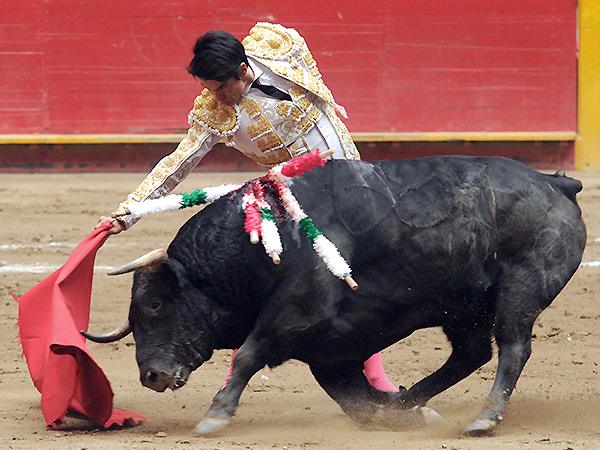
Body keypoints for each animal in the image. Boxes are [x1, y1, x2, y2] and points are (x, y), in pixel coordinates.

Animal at [84, 156, 584, 436]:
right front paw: (399, 416)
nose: (151, 375)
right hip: (462, 307)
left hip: (520, 288)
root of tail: (554, 183)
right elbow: (353, 401)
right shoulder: (329, 350)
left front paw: (216, 415)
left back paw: (484, 418)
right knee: (471, 352)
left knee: (512, 348)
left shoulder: (298, 314)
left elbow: (247, 355)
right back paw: (409, 401)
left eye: (155, 304)